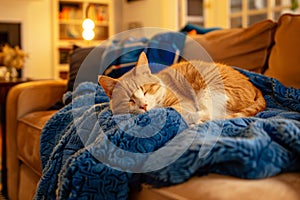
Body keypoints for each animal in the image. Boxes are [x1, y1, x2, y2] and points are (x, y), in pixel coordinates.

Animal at [99, 52, 266, 124]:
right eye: (130, 100)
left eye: (146, 90)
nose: (144, 106)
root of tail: (254, 87)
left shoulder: (185, 102)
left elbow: (177, 110)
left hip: (209, 89)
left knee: (210, 114)